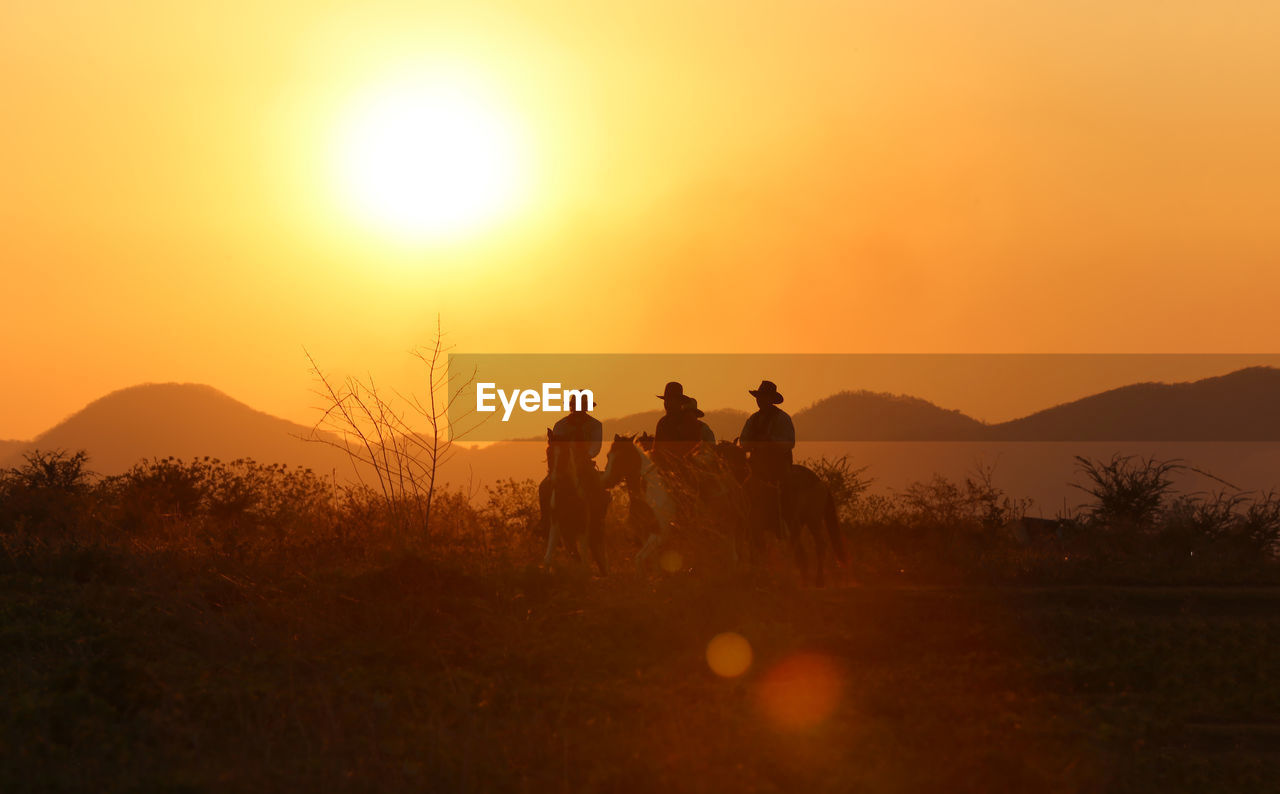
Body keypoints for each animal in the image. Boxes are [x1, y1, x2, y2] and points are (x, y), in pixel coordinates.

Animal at [540, 430, 609, 573]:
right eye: (548, 452)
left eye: (566, 453)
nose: (554, 480)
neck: (567, 495)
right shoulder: (556, 524)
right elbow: (548, 558)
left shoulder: (583, 526)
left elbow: (585, 563)